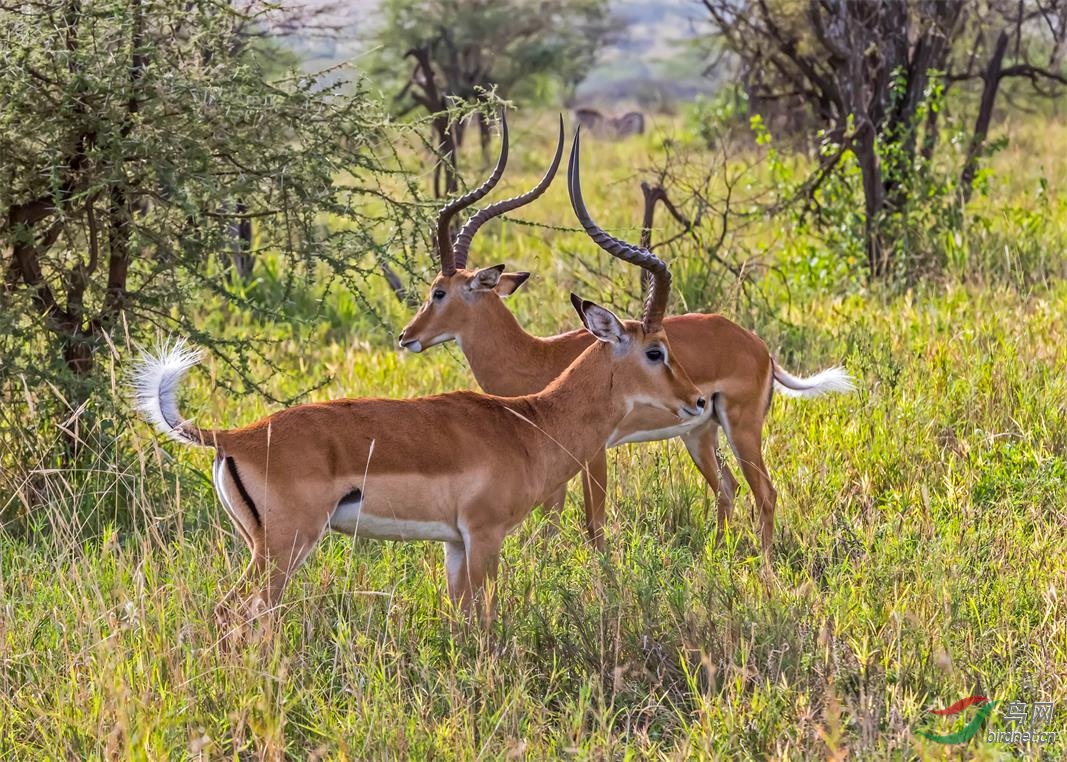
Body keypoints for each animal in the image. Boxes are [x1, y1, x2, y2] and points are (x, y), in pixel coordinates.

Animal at [131, 125, 708, 623]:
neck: (530, 424)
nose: (699, 401)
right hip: (284, 547)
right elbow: (485, 621)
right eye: (655, 351)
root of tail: (235, 436)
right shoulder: (483, 536)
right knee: (231, 613)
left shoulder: (454, 543)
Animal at [396, 121, 853, 554]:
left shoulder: (593, 453)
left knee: (766, 494)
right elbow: (550, 518)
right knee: (728, 486)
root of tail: (757, 346)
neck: (535, 359)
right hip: (699, 433)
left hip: (741, 428)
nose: (406, 337)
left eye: (438, 292)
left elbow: (591, 522)